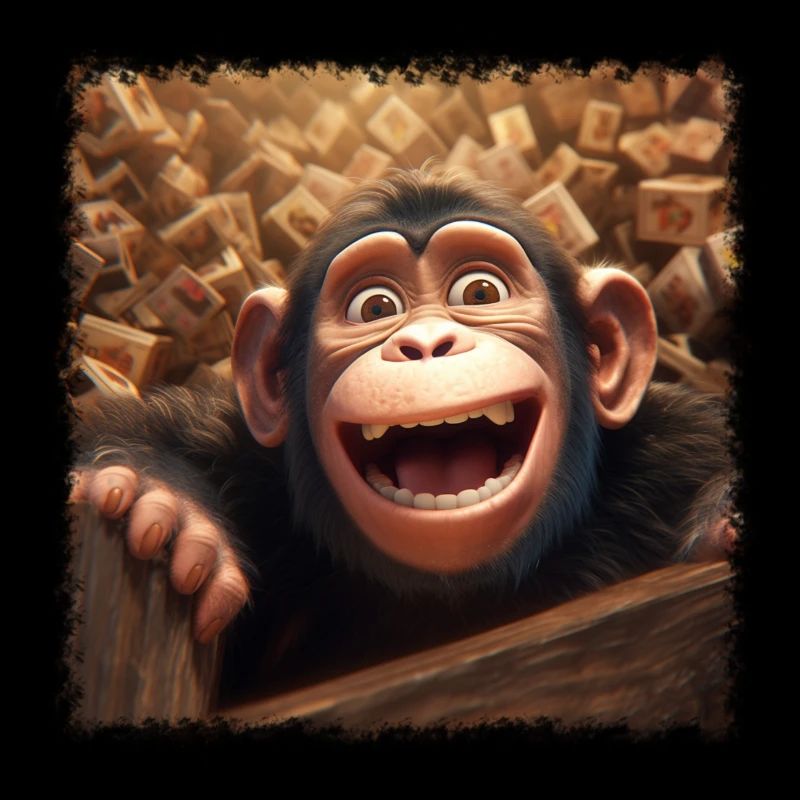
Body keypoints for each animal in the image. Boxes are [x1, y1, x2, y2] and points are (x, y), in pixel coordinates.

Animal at [70, 168, 735, 703]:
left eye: (481, 292)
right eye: (375, 307)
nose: (426, 343)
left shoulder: (678, 446)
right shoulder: (238, 452)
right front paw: (161, 504)